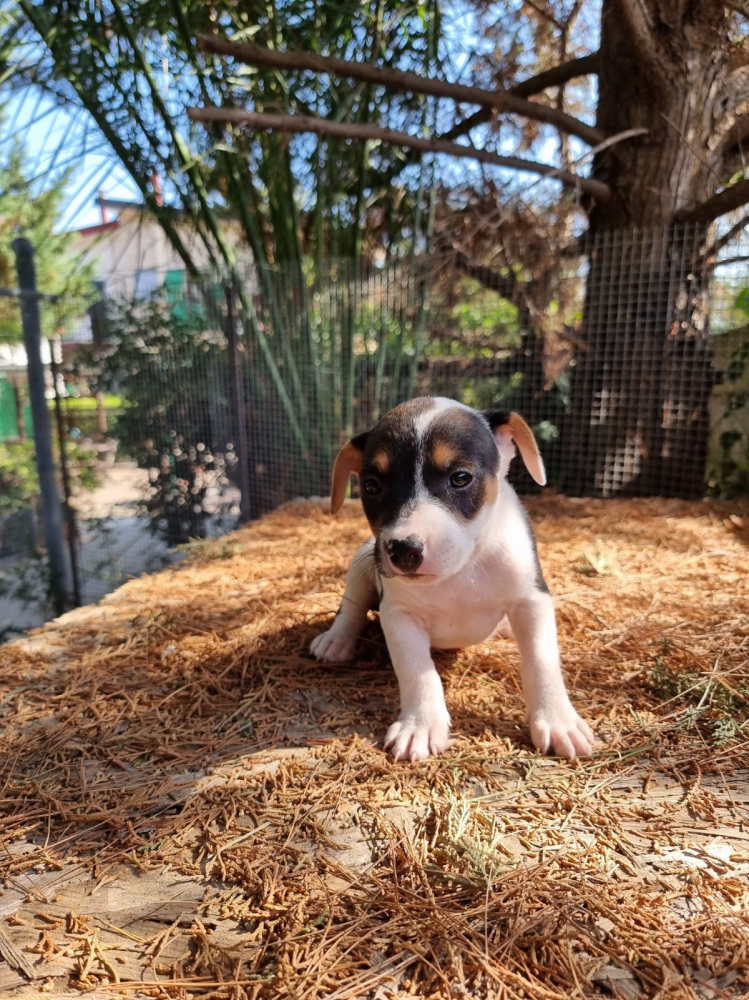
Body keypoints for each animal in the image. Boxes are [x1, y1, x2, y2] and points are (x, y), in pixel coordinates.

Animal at [306, 394, 592, 760]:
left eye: (460, 478)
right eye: (371, 486)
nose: (403, 550)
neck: (461, 571)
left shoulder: (532, 600)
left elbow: (541, 660)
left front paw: (558, 722)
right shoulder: (398, 615)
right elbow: (417, 671)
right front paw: (420, 724)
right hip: (362, 563)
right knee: (351, 608)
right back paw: (336, 640)